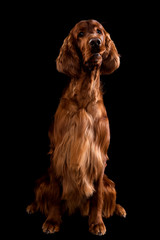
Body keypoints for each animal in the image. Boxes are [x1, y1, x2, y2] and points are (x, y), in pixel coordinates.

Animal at [26, 19, 126, 236]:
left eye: (99, 31)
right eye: (80, 34)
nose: (95, 42)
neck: (84, 94)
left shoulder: (98, 157)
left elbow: (97, 198)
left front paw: (96, 223)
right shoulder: (58, 154)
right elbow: (55, 195)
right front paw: (52, 221)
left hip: (110, 184)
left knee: (109, 196)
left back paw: (119, 209)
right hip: (42, 181)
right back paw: (32, 206)